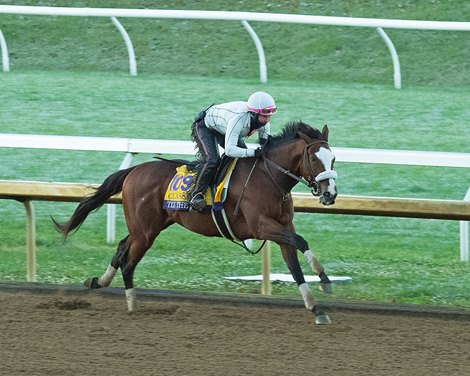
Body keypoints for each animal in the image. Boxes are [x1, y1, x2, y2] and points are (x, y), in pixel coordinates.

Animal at [53, 122, 336, 324]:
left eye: (333, 159)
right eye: (314, 159)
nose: (330, 194)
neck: (270, 177)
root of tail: (133, 171)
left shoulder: (282, 228)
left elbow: (295, 265)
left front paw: (316, 307)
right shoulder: (261, 226)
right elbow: (301, 241)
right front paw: (324, 279)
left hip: (148, 226)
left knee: (122, 247)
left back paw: (99, 282)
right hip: (145, 231)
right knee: (128, 261)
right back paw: (131, 302)